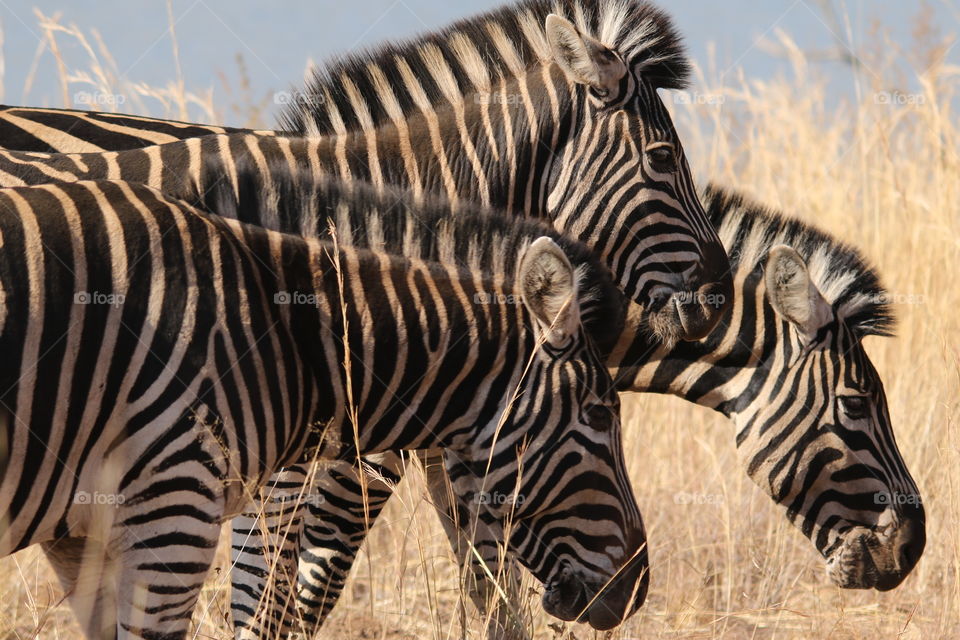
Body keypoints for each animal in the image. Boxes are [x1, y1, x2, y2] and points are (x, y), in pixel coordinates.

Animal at [223, 182, 925, 636]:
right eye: (856, 404)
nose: (912, 547)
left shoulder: (465, 455)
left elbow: (492, 589)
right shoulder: (368, 446)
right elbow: (303, 584)